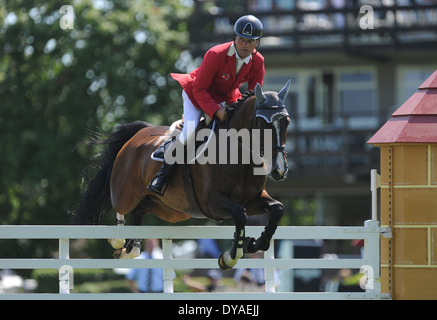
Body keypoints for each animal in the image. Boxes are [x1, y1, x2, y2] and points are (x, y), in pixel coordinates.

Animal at [70, 80, 290, 270]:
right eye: (262, 123)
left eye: (286, 122)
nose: (279, 170)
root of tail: (138, 134)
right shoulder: (213, 203)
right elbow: (240, 215)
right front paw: (231, 256)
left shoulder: (252, 200)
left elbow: (277, 209)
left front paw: (256, 243)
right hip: (125, 192)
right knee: (121, 207)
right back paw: (118, 240)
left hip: (172, 210)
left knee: (140, 210)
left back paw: (131, 248)